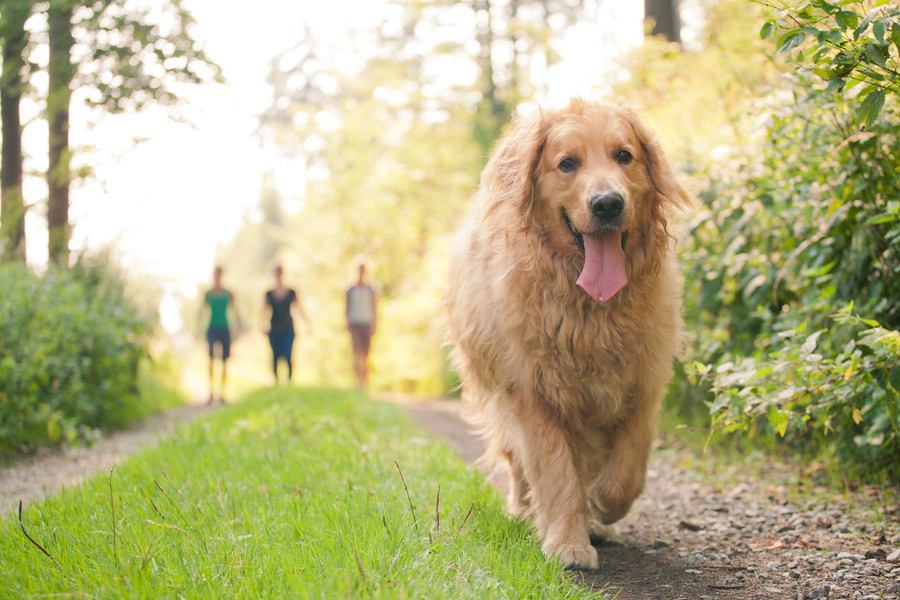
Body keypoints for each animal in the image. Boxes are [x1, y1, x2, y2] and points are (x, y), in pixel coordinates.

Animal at [446, 98, 692, 568]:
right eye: (567, 164)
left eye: (624, 156)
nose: (607, 204)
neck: (591, 310)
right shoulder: (534, 393)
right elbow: (557, 472)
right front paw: (567, 543)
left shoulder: (642, 384)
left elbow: (626, 471)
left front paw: (602, 509)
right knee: (519, 464)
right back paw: (525, 510)